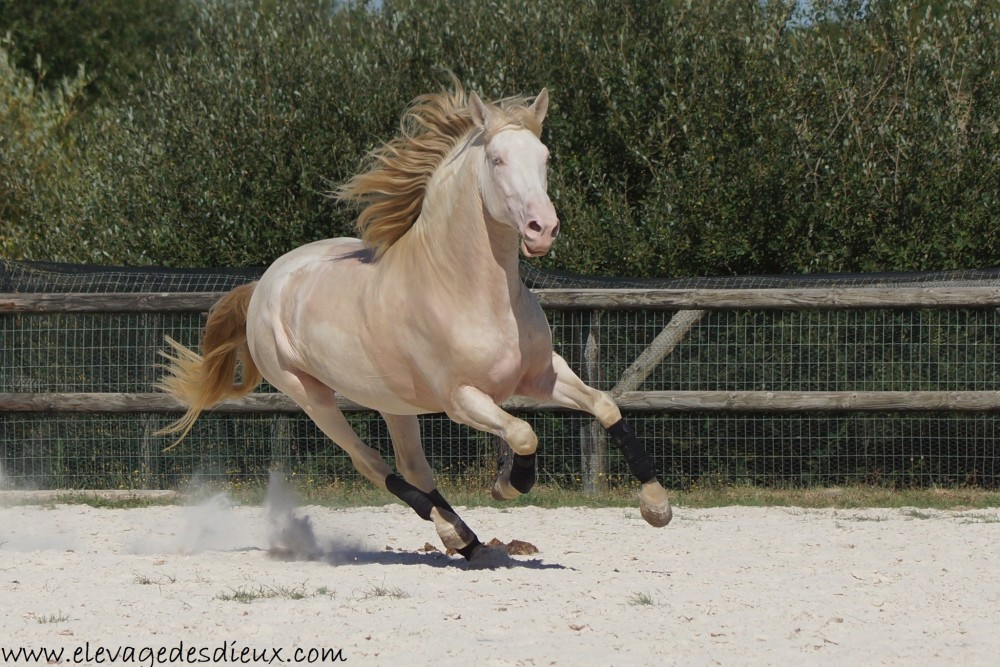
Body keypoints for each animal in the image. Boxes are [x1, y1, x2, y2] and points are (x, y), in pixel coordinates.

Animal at [158, 83, 672, 564]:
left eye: (545, 157)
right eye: (498, 159)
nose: (542, 230)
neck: (471, 292)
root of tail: (265, 282)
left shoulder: (542, 375)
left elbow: (604, 405)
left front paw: (656, 506)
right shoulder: (461, 399)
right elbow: (524, 433)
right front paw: (509, 484)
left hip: (395, 404)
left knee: (413, 466)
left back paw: (464, 539)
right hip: (309, 396)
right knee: (371, 463)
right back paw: (455, 533)